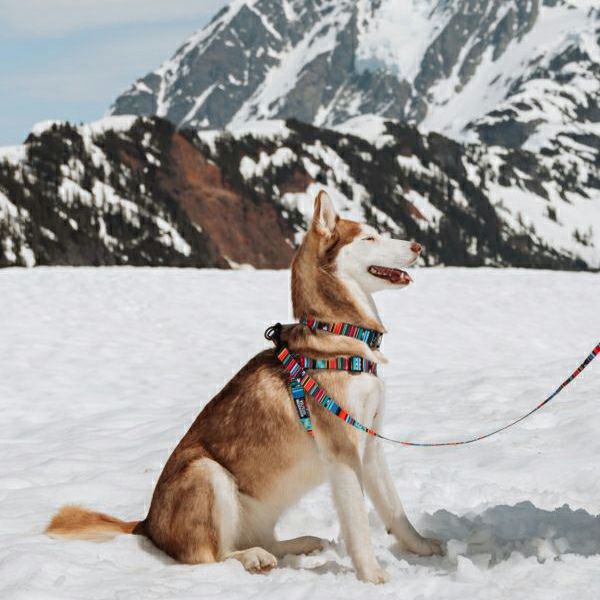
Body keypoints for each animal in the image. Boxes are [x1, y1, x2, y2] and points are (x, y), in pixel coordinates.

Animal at [46, 190, 442, 583]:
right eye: (369, 238)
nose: (418, 246)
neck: (338, 334)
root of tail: (147, 524)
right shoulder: (342, 452)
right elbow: (358, 525)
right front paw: (373, 576)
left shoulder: (370, 446)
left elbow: (395, 510)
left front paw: (423, 548)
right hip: (207, 473)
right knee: (210, 556)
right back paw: (251, 558)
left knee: (263, 539)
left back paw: (298, 544)